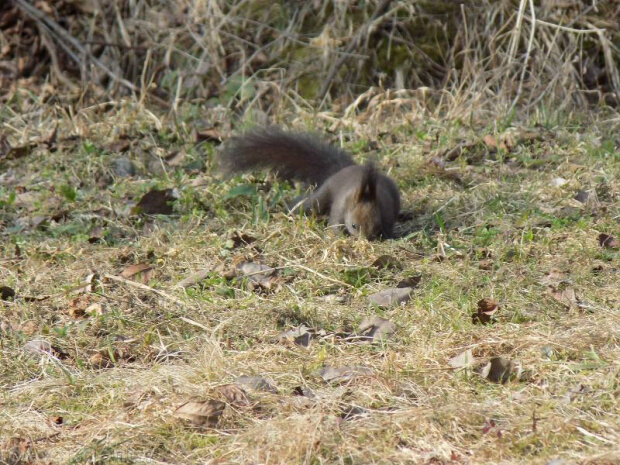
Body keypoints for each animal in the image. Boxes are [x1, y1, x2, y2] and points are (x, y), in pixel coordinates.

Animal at [218, 126, 402, 239]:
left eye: (376, 225)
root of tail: (343, 169)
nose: (366, 240)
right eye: (354, 226)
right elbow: (335, 225)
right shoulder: (340, 208)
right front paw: (339, 237)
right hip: (323, 194)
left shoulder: (385, 211)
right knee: (310, 204)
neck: (364, 193)